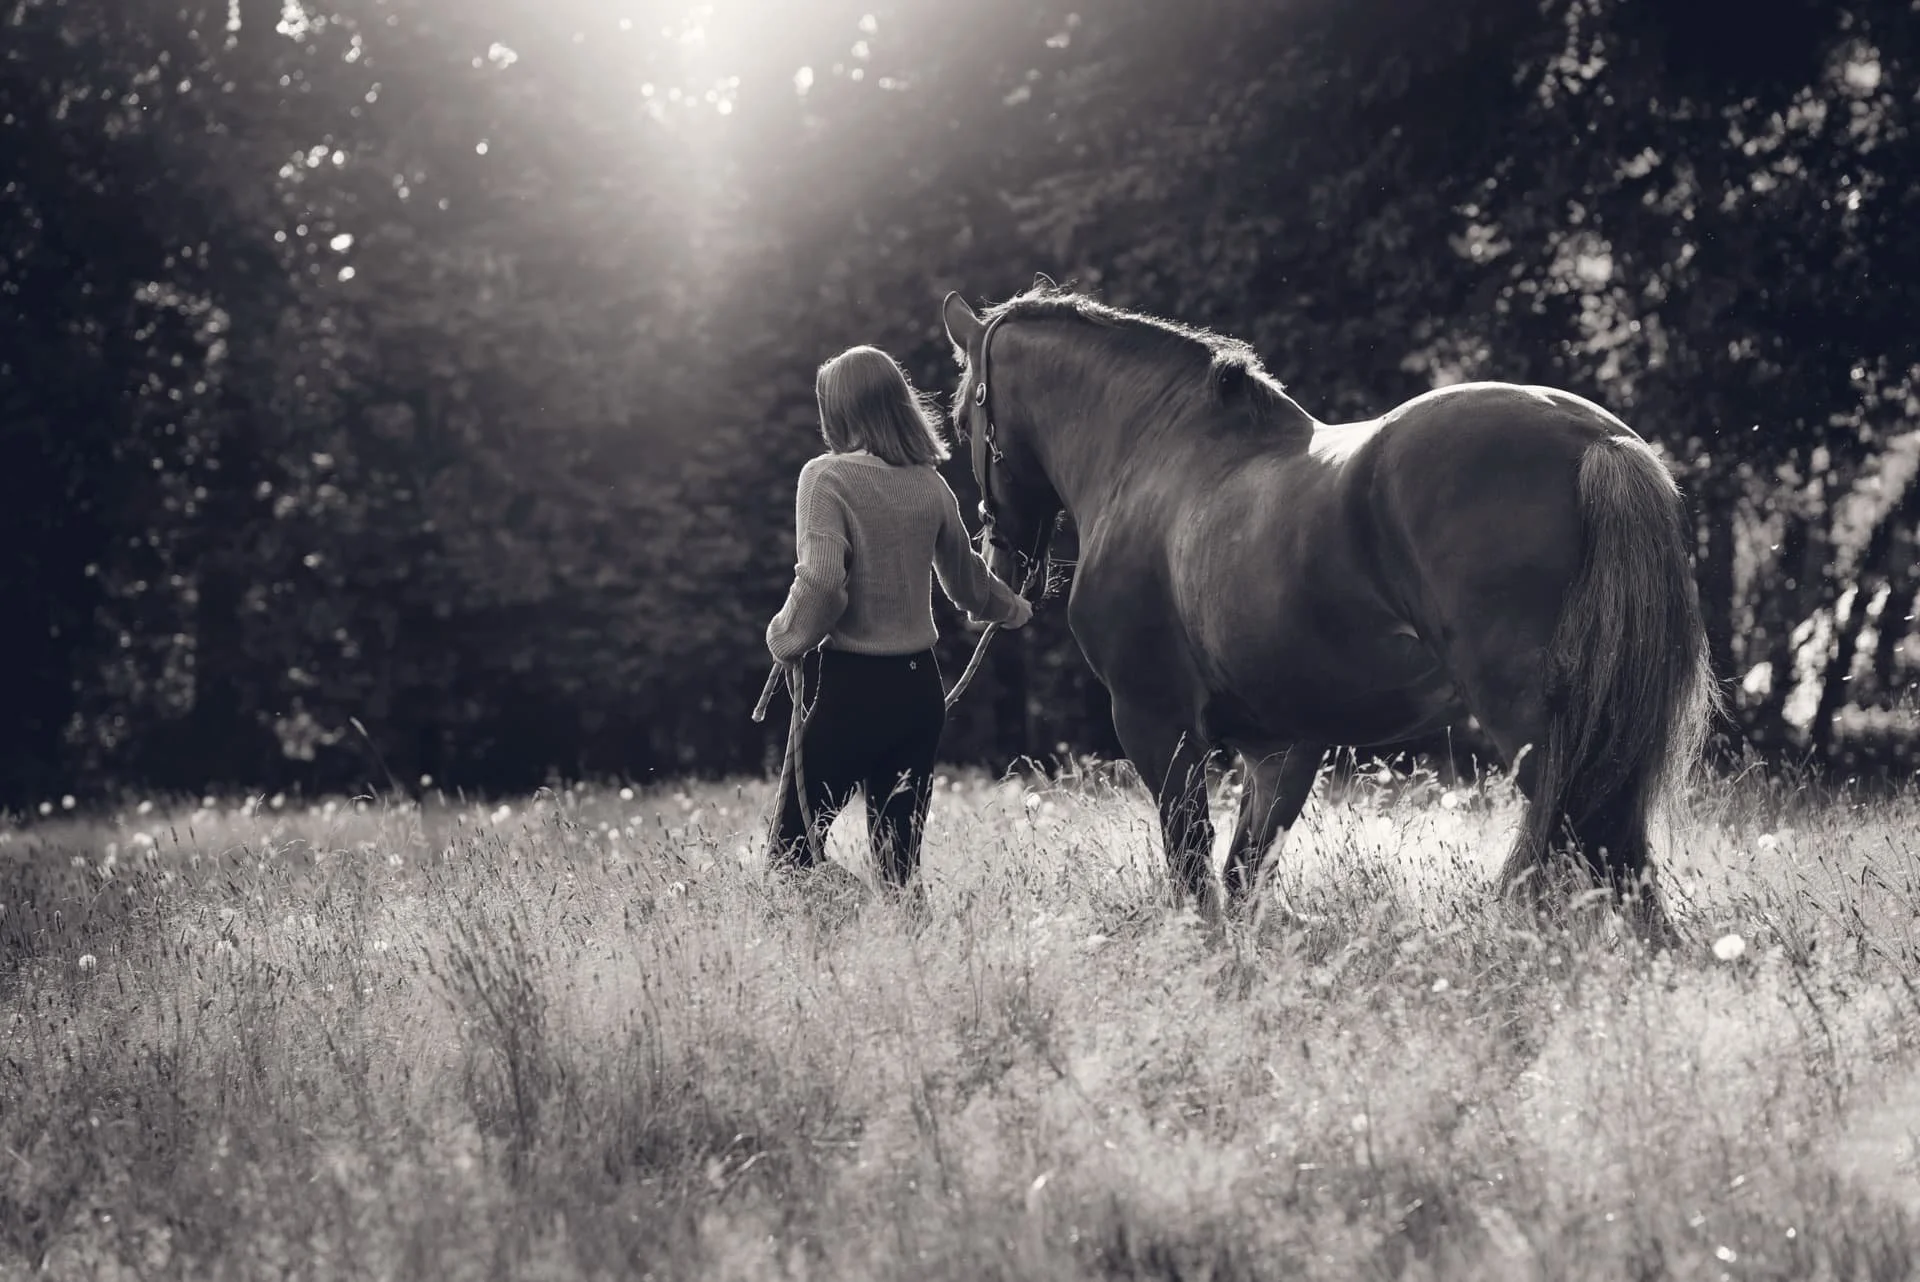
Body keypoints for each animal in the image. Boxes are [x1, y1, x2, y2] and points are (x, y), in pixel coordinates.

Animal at [940, 282, 1717, 942]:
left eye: (963, 417)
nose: (999, 563)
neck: (1154, 456)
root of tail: (1595, 440)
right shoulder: (1282, 747)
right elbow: (1242, 878)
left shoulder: (1154, 724)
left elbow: (1193, 874)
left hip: (1534, 724)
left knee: (1600, 850)